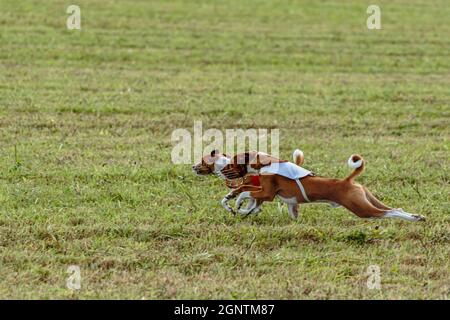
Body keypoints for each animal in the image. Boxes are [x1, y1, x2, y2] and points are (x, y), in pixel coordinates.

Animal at [192, 149, 426, 220]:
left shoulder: (266, 193)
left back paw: (412, 218)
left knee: (389, 213)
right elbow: (248, 202)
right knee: (395, 207)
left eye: (234, 161)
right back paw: (417, 216)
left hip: (361, 209)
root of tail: (347, 180)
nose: (194, 167)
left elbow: (243, 194)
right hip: (368, 200)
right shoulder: (275, 200)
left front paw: (236, 203)